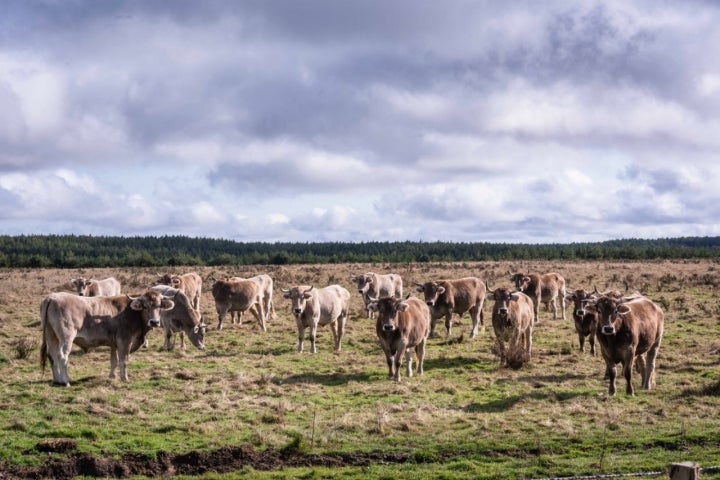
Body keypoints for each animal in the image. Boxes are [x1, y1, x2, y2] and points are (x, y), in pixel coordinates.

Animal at [40, 288, 174, 386]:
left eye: (159, 306)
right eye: (145, 306)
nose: (154, 322)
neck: (131, 311)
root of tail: (52, 297)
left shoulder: (114, 343)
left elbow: (114, 361)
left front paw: (112, 376)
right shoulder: (125, 341)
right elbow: (123, 361)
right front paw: (124, 378)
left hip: (51, 335)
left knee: (51, 355)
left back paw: (57, 380)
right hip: (66, 337)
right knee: (62, 356)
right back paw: (65, 381)